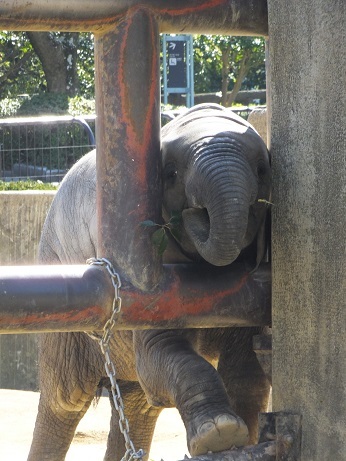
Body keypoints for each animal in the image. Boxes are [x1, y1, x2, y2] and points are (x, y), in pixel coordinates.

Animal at [27, 103, 270, 460]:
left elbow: (244, 369)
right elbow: (165, 349)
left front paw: (239, 441)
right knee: (65, 400)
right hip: (60, 285)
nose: (193, 213)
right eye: (171, 174)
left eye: (260, 169)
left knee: (137, 402)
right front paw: (218, 434)